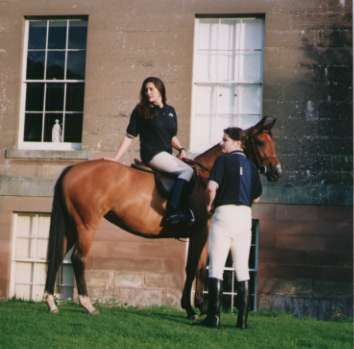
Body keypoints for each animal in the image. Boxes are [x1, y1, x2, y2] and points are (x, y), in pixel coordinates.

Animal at [42, 116, 280, 316]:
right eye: (260, 142)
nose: (276, 171)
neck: (205, 177)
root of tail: (72, 169)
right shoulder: (200, 231)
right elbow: (192, 267)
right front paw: (191, 308)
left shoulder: (202, 232)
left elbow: (200, 266)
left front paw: (198, 306)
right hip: (86, 225)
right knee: (78, 258)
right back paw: (87, 303)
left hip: (72, 226)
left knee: (58, 255)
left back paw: (51, 302)